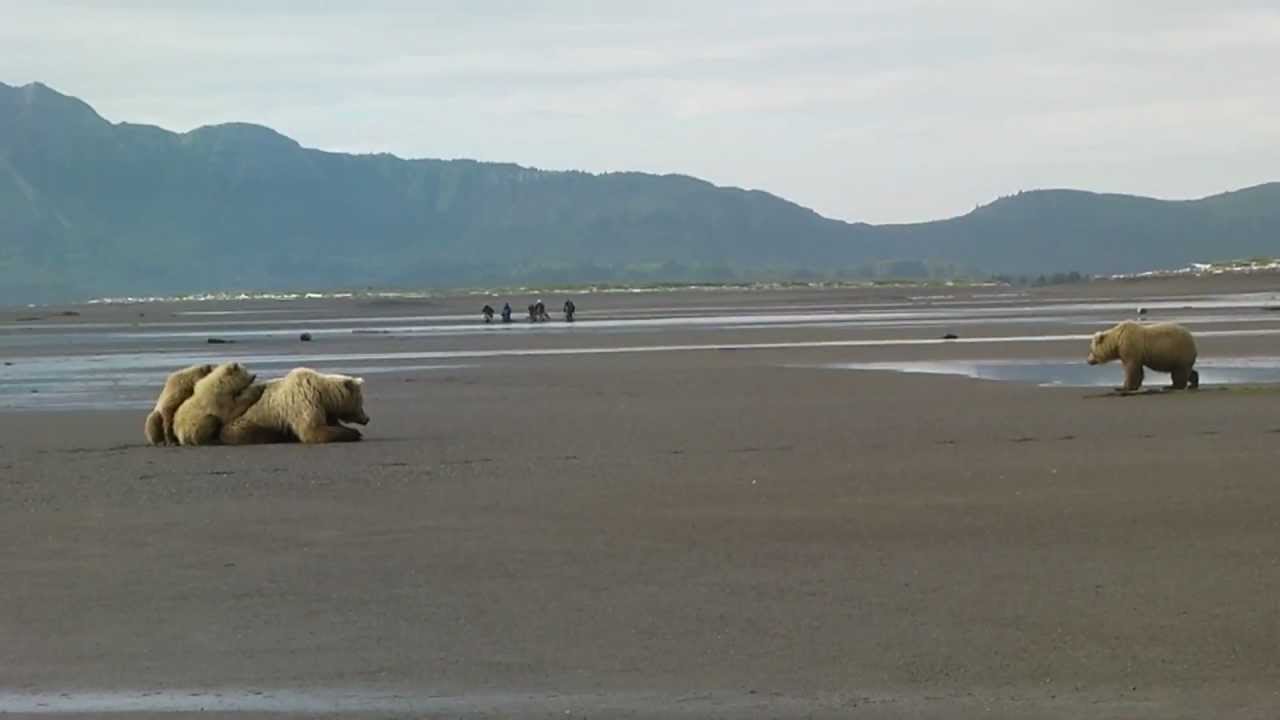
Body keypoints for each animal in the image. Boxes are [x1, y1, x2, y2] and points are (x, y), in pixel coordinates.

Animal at [219, 367, 369, 445]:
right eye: (361, 401)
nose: (367, 419)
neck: (324, 395)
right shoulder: (305, 400)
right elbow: (312, 431)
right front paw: (354, 433)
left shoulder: (325, 409)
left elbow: (330, 423)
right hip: (243, 421)